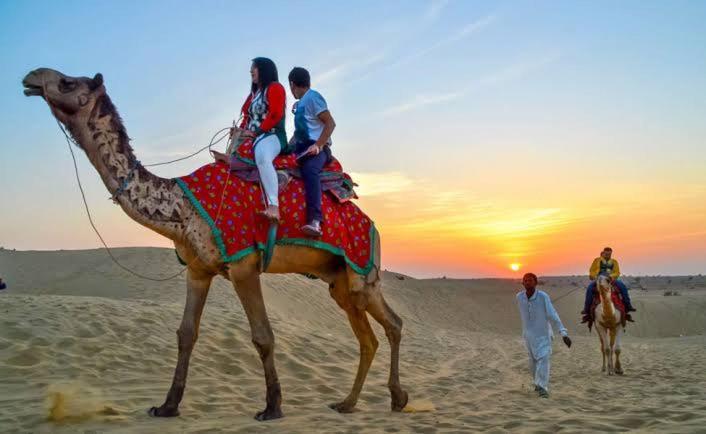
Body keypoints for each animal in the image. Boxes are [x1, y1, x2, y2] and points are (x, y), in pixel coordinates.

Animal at [22, 68, 408, 420]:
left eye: (68, 82)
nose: (31, 77)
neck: (182, 206)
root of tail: (373, 225)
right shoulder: (198, 270)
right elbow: (186, 334)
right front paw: (167, 406)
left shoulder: (243, 265)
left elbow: (263, 335)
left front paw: (272, 408)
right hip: (339, 281)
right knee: (370, 336)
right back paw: (350, 403)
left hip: (362, 271)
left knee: (392, 324)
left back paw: (396, 398)